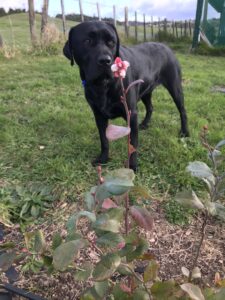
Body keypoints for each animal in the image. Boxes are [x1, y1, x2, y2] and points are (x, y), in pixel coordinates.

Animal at [62, 20, 188, 170]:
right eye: (87, 41)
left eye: (111, 42)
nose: (105, 61)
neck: (103, 85)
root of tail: (166, 46)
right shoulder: (98, 115)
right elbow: (104, 140)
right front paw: (103, 158)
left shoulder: (131, 113)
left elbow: (132, 144)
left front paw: (132, 167)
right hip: (145, 91)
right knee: (150, 107)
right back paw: (144, 124)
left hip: (175, 87)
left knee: (182, 110)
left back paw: (185, 132)